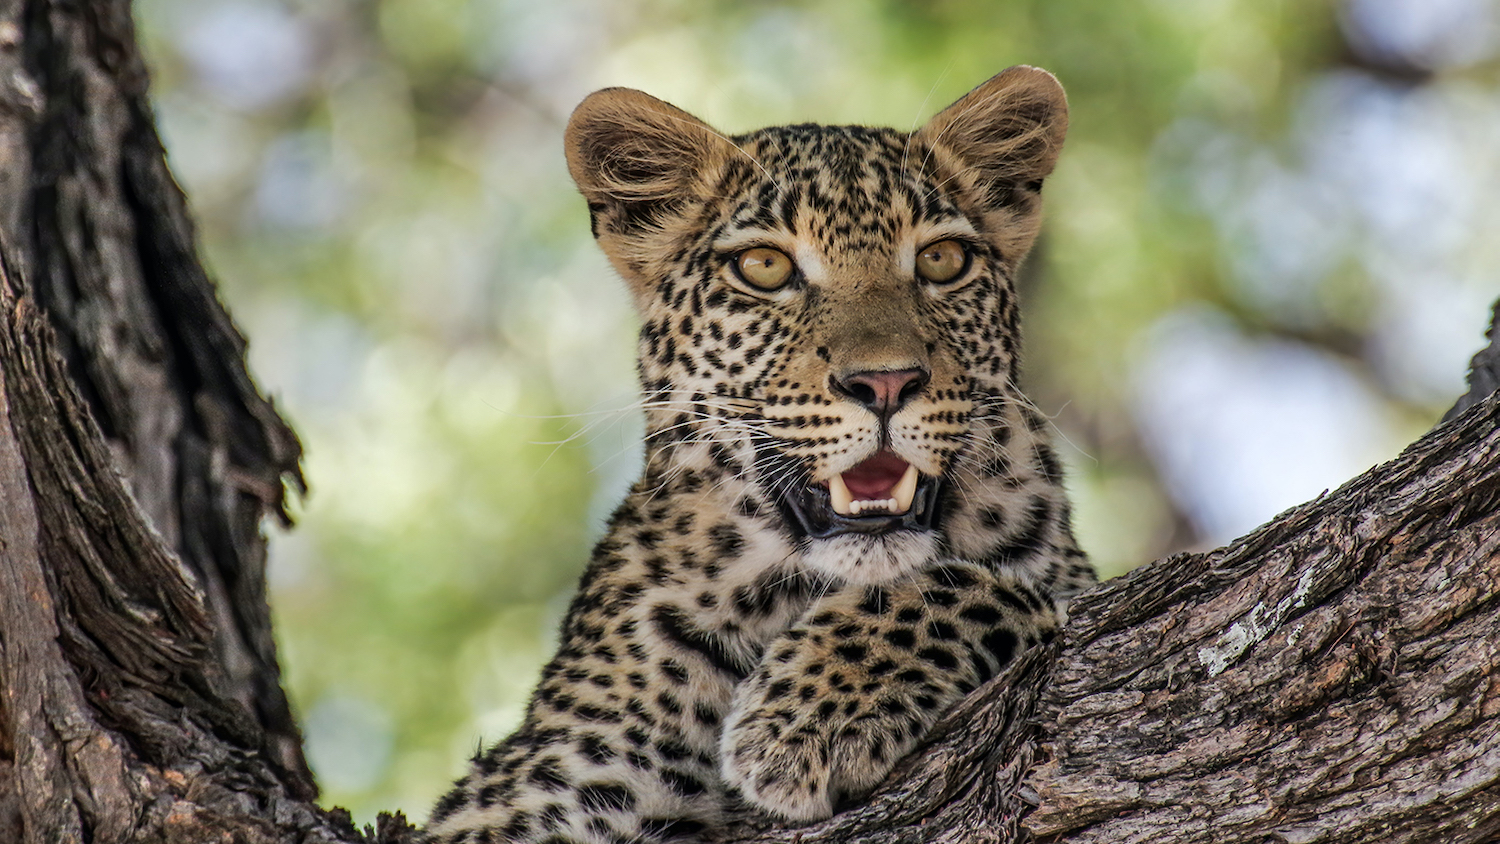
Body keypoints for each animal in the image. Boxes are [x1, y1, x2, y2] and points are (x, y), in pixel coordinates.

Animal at [423, 67, 1104, 844]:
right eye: (765, 266)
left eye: (941, 260)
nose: (886, 382)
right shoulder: (543, 786)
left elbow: (1003, 587)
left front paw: (808, 716)